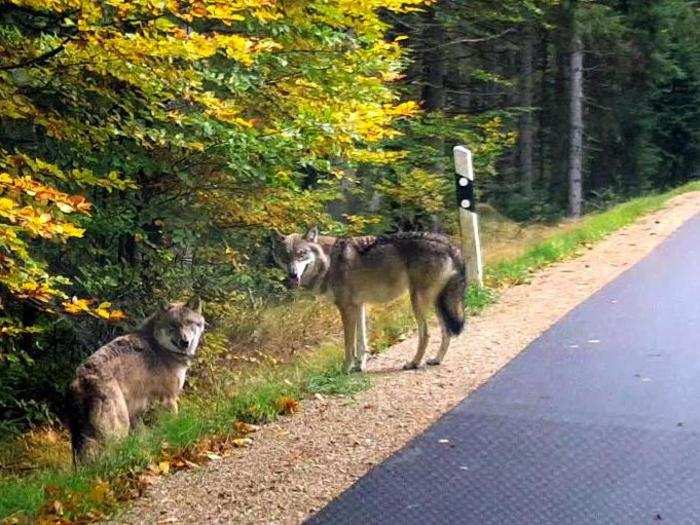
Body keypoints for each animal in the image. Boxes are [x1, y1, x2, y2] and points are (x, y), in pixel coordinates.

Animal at [65, 296, 205, 464]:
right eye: (173, 325)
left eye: (189, 323)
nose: (184, 342)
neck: (160, 346)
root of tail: (82, 379)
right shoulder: (169, 399)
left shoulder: (137, 412)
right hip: (118, 428)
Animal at [270, 227, 468, 370]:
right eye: (286, 256)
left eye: (301, 254)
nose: (292, 274)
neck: (328, 261)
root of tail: (450, 245)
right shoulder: (359, 306)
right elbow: (361, 342)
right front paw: (360, 366)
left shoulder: (346, 308)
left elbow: (348, 344)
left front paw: (346, 369)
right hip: (437, 303)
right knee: (446, 332)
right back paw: (436, 360)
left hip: (418, 302)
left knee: (426, 334)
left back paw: (413, 363)